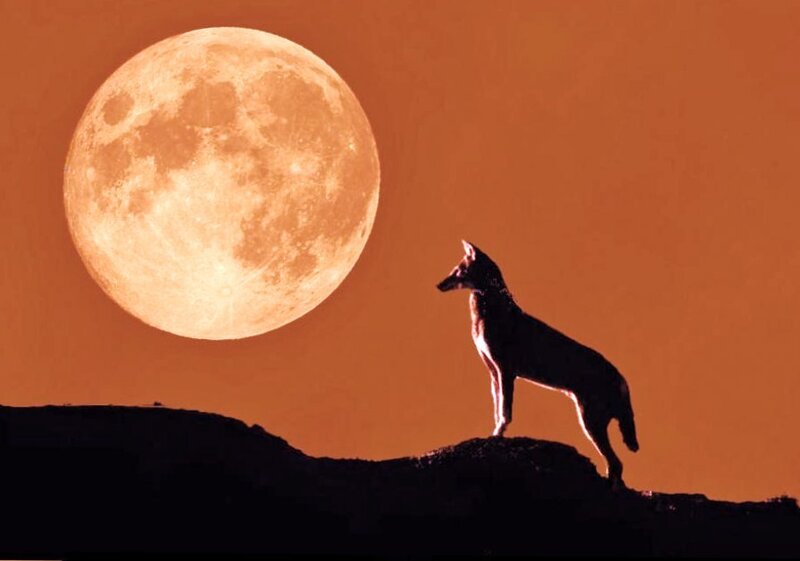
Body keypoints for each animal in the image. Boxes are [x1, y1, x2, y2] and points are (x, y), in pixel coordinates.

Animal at [437, 241, 639, 487]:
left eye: (458, 270)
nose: (439, 285)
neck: (489, 308)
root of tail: (620, 377)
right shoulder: (493, 372)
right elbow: (497, 410)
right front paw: (494, 434)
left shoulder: (505, 371)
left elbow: (504, 413)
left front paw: (497, 435)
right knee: (616, 465)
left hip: (589, 422)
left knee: (616, 463)